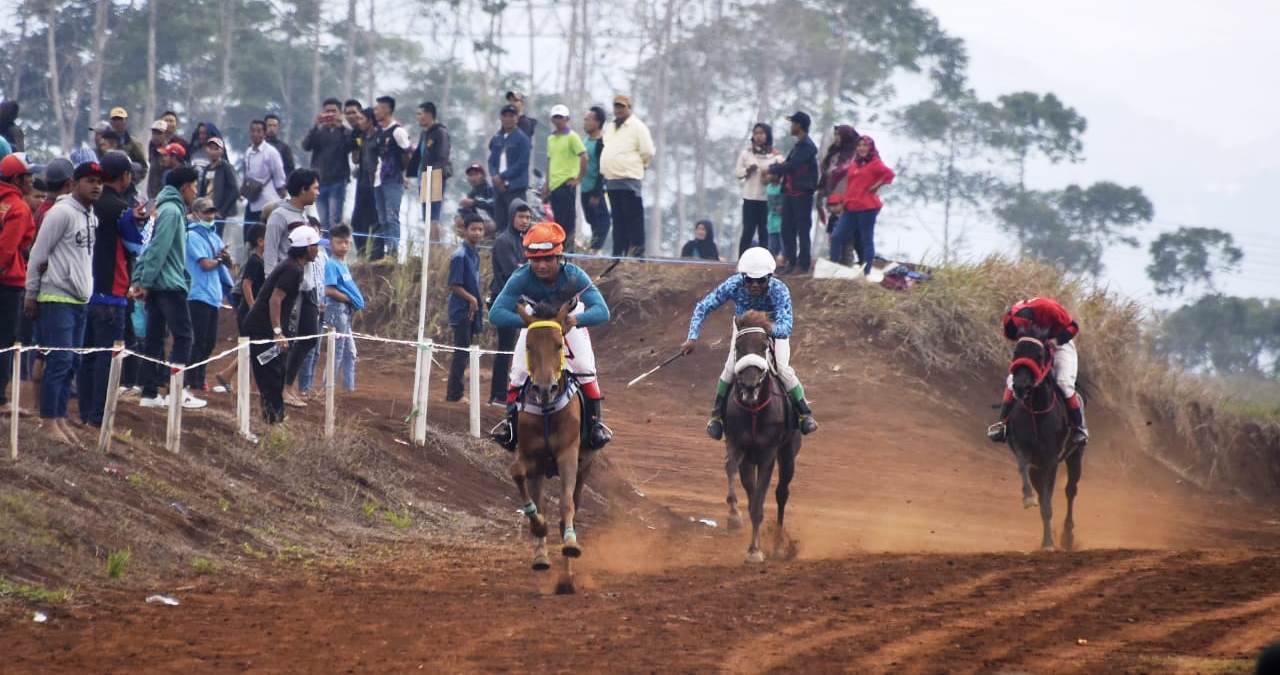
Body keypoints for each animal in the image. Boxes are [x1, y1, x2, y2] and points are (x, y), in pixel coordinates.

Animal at [506, 299, 596, 591]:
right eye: (529, 346)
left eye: (558, 345)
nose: (545, 389)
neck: (547, 410)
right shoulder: (530, 456)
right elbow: (518, 475)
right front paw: (538, 527)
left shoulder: (568, 453)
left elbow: (566, 504)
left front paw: (570, 544)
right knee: (541, 500)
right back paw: (542, 557)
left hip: (585, 466)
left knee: (573, 506)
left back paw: (567, 576)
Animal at [721, 312, 798, 566]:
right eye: (738, 346)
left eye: (765, 346)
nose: (749, 386)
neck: (754, 409)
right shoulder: (740, 448)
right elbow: (733, 471)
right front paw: (734, 517)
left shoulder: (768, 455)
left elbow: (760, 502)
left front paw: (755, 550)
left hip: (788, 454)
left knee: (782, 493)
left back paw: (778, 546)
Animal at [1003, 335, 1085, 553]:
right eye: (1016, 352)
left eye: (1039, 355)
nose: (1020, 386)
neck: (1036, 410)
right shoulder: (1025, 451)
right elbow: (1024, 470)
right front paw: (1027, 498)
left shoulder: (1050, 460)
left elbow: (1048, 503)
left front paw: (1049, 544)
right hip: (1038, 466)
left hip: (1075, 455)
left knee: (1070, 490)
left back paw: (1067, 537)